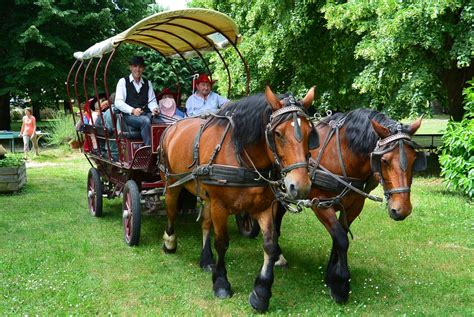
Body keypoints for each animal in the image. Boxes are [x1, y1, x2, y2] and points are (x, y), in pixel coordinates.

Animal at [159, 85, 318, 310]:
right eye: (278, 134)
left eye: (309, 133)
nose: (300, 186)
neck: (241, 154)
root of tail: (172, 127)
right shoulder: (219, 205)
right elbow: (222, 242)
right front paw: (221, 283)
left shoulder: (265, 206)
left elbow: (270, 244)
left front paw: (261, 292)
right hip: (172, 182)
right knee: (172, 210)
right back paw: (170, 242)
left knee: (205, 223)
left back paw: (206, 259)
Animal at [274, 108, 426, 302]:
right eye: (384, 160)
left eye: (414, 159)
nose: (402, 209)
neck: (343, 156)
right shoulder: (321, 205)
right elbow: (341, 238)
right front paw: (340, 285)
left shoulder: (354, 206)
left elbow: (339, 237)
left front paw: (330, 276)